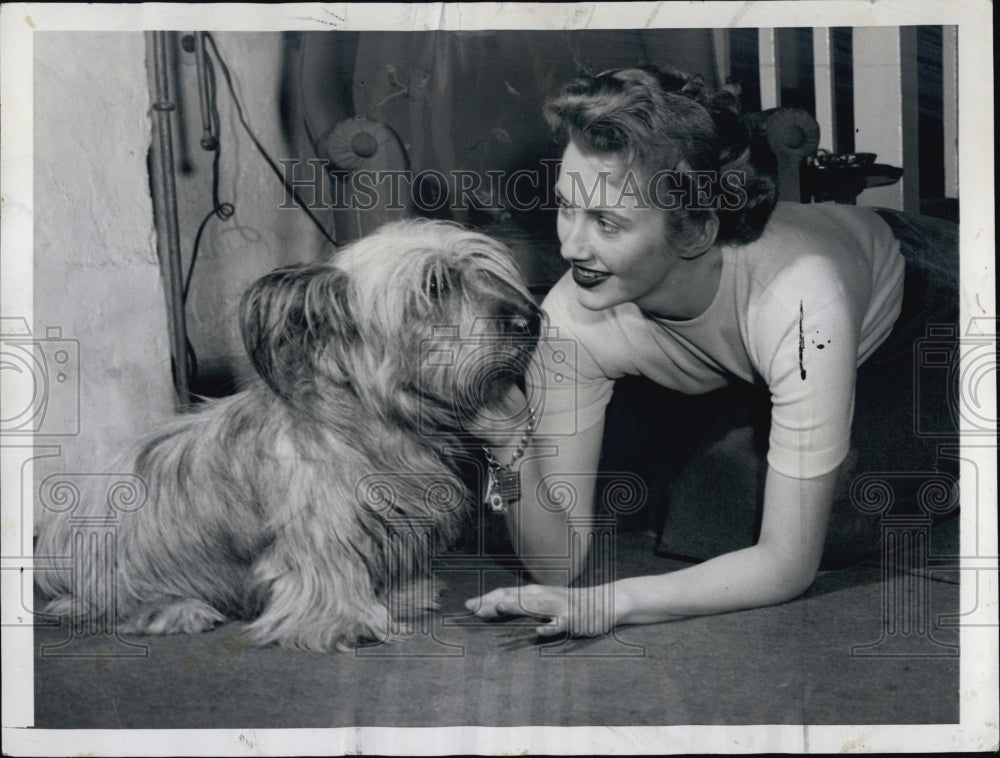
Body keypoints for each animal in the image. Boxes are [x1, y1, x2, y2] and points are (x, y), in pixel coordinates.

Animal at [33, 220, 540, 652]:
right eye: (435, 286)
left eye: (486, 272)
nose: (531, 320)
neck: (374, 418)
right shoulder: (319, 529)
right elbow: (328, 572)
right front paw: (346, 621)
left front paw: (400, 595)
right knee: (100, 608)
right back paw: (179, 610)